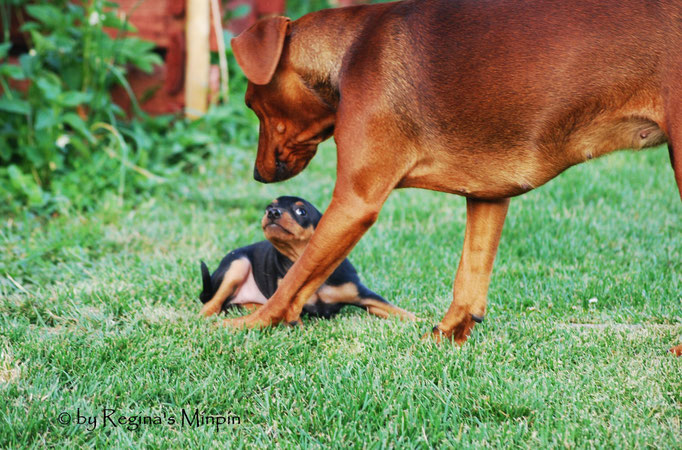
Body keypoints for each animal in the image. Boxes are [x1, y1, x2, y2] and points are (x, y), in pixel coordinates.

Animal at [194, 196, 412, 320]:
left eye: (301, 211)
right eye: (268, 207)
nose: (272, 212)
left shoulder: (363, 295)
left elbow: (399, 311)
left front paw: (419, 325)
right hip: (237, 264)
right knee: (212, 303)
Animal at [227, 0, 680, 354]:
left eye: (251, 101)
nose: (256, 175)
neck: (350, 51)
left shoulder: (355, 200)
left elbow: (296, 278)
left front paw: (250, 324)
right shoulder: (489, 194)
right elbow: (469, 278)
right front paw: (445, 336)